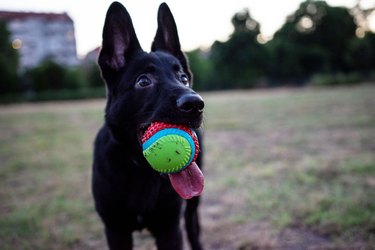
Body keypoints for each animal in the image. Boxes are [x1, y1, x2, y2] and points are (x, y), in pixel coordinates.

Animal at [93, 1, 206, 250]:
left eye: (183, 78)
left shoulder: (169, 230)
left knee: (192, 225)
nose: (195, 104)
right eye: (143, 81)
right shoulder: (116, 231)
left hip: (192, 202)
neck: (141, 169)